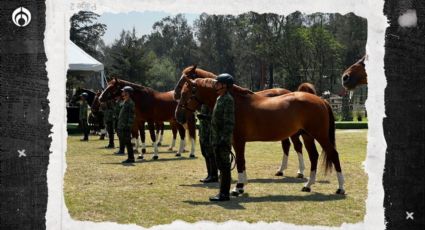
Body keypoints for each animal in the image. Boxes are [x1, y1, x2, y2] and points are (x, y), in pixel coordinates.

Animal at [176, 77, 344, 194]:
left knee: (333, 154)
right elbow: (241, 162)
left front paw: (238, 187)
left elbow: (241, 161)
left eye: (185, 94)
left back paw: (340, 188)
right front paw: (242, 185)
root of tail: (321, 100)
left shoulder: (238, 141)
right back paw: (308, 185)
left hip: (320, 135)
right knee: (313, 156)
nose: (178, 116)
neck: (235, 103)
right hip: (307, 135)